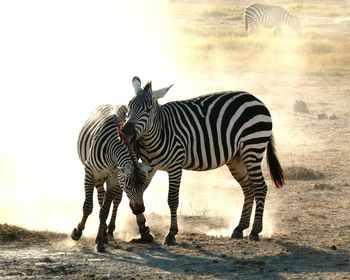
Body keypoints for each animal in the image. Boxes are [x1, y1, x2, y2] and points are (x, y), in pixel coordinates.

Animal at [71, 104, 153, 253]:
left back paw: (108, 232)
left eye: (144, 185)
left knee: (115, 201)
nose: (139, 210)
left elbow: (104, 210)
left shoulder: (115, 179)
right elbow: (88, 206)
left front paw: (99, 240)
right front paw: (78, 232)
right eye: (129, 186)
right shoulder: (89, 172)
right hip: (98, 177)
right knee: (100, 198)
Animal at [120, 76, 284, 245]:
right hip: (236, 157)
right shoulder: (149, 167)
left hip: (253, 148)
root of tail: (256, 99)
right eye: (129, 106)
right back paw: (239, 228)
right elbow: (138, 193)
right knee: (248, 187)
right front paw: (143, 231)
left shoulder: (175, 166)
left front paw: (171, 234)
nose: (125, 132)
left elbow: (172, 200)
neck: (158, 133)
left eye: (147, 110)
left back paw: (255, 231)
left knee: (260, 187)